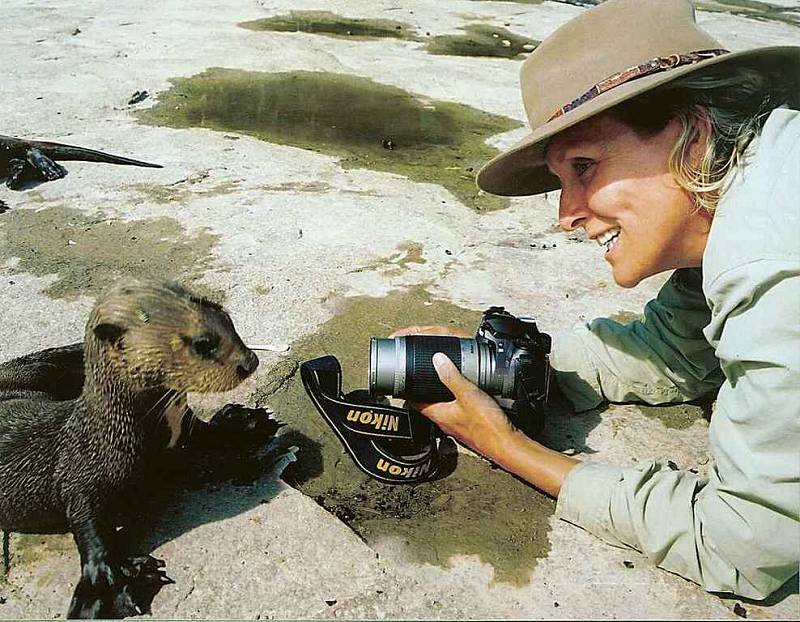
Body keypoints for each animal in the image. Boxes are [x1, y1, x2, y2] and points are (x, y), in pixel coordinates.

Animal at [0, 280, 260, 620]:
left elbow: (206, 434)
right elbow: (86, 519)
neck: (113, 431)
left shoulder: (184, 431)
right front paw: (110, 584)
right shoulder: (81, 470)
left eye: (227, 319)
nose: (250, 361)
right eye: (203, 343)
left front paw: (243, 422)